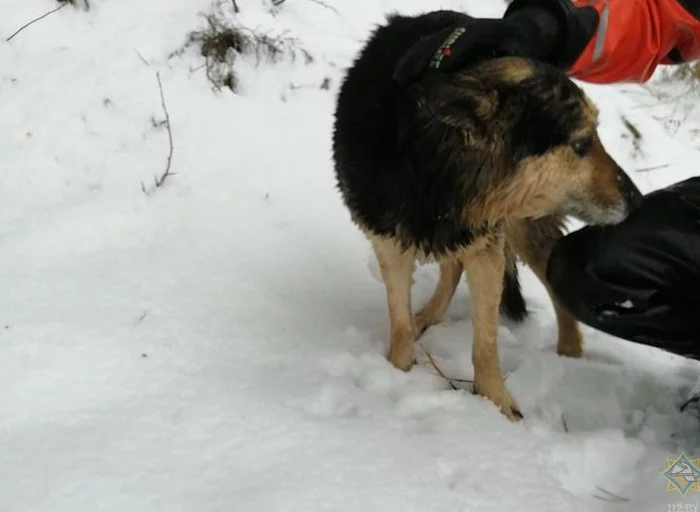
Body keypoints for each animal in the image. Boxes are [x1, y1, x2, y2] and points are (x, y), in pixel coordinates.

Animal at [330, 11, 644, 420]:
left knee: (554, 285)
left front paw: (497, 405)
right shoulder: (390, 243)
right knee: (451, 267)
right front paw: (397, 373)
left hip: (525, 227)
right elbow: (399, 325)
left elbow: (485, 344)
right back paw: (429, 317)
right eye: (581, 143)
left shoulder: (486, 247)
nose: (637, 201)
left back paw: (568, 358)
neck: (434, 166)